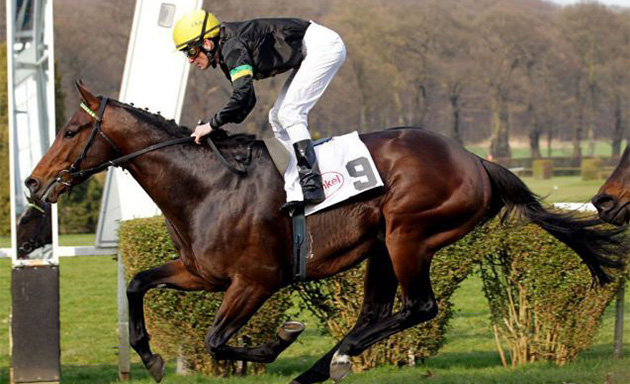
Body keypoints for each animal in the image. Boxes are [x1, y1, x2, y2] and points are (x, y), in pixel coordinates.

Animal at [25, 82, 628, 382]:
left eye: (72, 129)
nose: (32, 182)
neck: (209, 185)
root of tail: (477, 159)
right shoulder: (201, 273)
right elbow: (137, 284)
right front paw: (148, 357)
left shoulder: (256, 281)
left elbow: (217, 340)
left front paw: (283, 338)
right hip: (383, 246)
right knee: (378, 312)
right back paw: (327, 363)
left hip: (408, 234)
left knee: (419, 307)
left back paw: (334, 359)